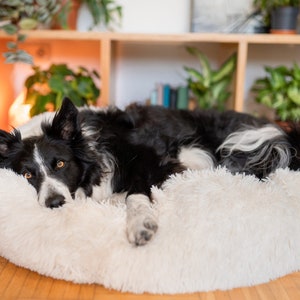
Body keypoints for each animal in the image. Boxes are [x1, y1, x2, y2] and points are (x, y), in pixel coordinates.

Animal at [0, 98, 300, 246]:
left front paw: (140, 224)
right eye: (27, 175)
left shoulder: (152, 162)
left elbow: (136, 195)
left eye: (60, 164)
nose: (54, 203)